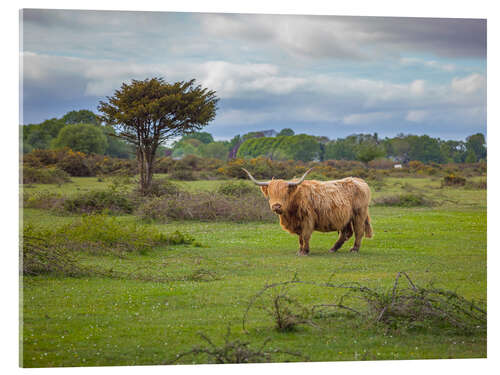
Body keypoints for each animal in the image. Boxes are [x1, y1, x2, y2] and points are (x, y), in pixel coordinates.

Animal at [242, 169, 372, 258]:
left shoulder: (307, 219)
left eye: (285, 194)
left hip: (359, 214)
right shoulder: (298, 223)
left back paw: (354, 249)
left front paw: (305, 251)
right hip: (344, 217)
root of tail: (359, 180)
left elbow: (305, 236)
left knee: (359, 231)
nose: (276, 206)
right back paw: (333, 249)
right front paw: (300, 250)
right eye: (270, 193)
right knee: (346, 233)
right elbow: (300, 238)